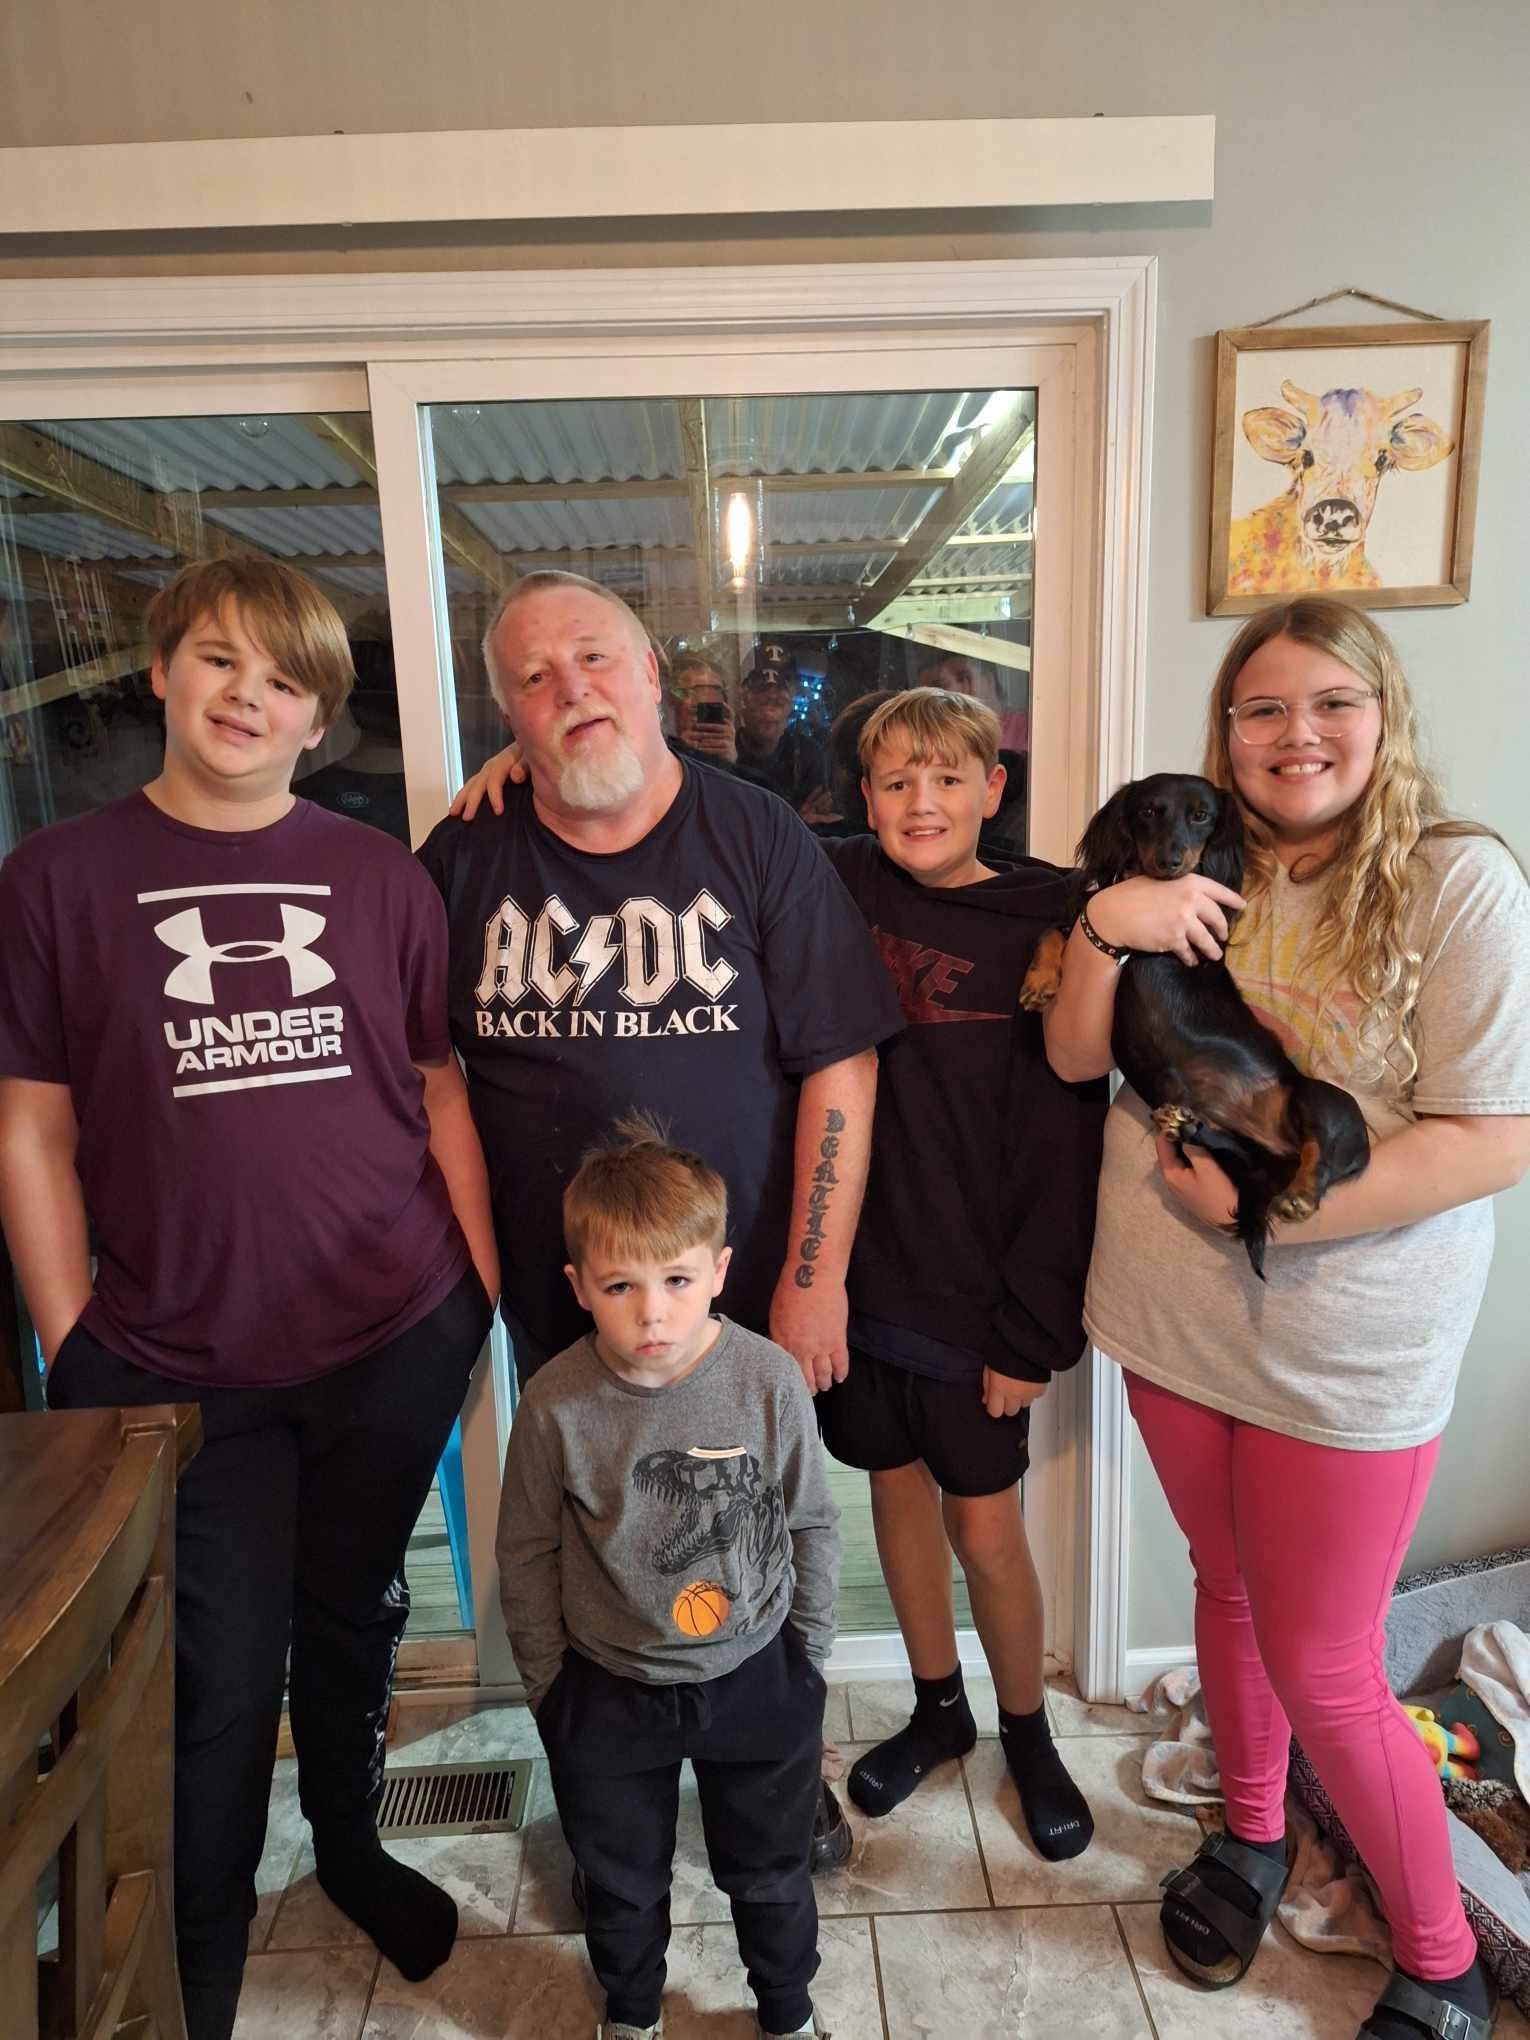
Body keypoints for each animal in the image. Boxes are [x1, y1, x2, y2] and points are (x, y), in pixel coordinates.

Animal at [1019, 772, 1370, 1278]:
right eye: (1149, 811)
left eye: (1202, 815)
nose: (1171, 862)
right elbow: (1055, 929)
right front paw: (1041, 983)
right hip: (1246, 1156)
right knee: (1240, 1151)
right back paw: (1188, 1127)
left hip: (1318, 1099)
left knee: (1318, 1152)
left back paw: (1300, 1195)